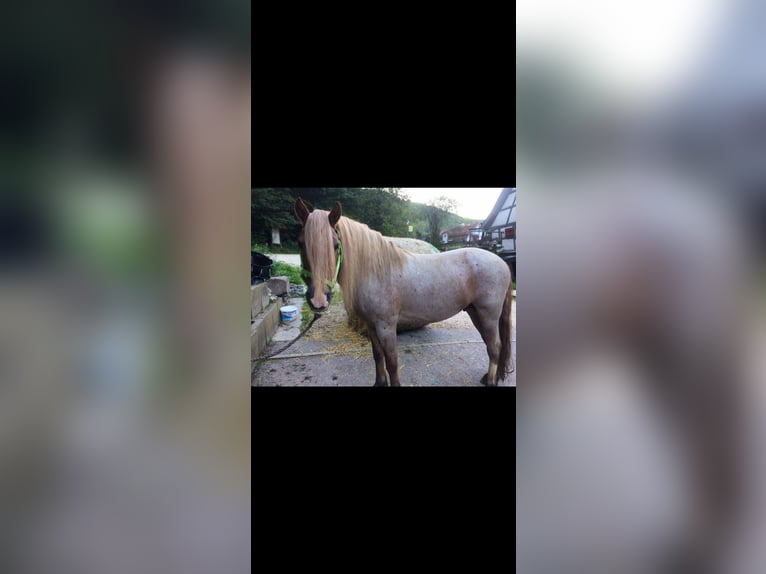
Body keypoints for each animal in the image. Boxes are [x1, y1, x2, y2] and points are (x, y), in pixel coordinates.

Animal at [294, 197, 516, 388]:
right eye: (301, 243)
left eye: (336, 245)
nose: (318, 300)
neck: (375, 271)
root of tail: (502, 263)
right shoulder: (371, 326)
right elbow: (378, 356)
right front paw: (379, 383)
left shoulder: (386, 326)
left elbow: (392, 362)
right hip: (475, 313)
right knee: (491, 345)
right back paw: (489, 377)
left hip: (488, 315)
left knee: (495, 346)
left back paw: (490, 381)